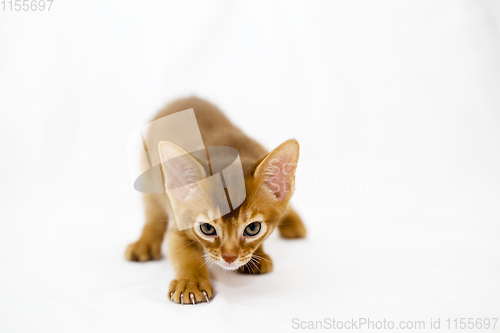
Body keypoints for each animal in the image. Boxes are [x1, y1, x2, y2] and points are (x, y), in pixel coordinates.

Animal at [125, 96, 304, 304]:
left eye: (253, 228)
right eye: (207, 228)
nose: (229, 257)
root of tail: (186, 97)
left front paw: (257, 255)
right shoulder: (179, 223)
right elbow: (185, 254)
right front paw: (190, 283)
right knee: (153, 214)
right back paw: (144, 243)